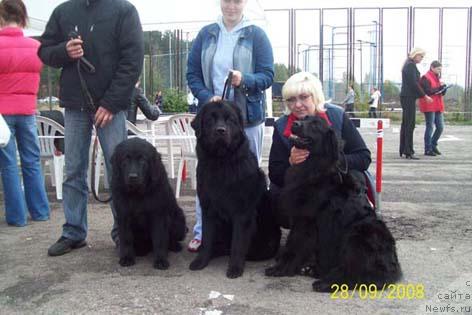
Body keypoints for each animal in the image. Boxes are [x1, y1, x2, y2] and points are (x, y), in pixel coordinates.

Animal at [111, 138, 187, 270]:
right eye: (126, 159)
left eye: (143, 160)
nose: (133, 177)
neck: (137, 194)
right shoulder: (123, 216)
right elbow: (126, 239)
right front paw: (127, 258)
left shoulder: (158, 215)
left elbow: (160, 239)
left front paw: (160, 260)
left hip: (179, 220)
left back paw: (175, 246)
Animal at [190, 101, 282, 278]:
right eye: (210, 120)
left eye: (230, 120)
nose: (220, 130)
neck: (221, 162)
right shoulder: (208, 209)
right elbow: (207, 238)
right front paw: (201, 261)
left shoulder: (242, 212)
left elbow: (238, 243)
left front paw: (235, 268)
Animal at [264, 116, 400, 294]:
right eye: (303, 118)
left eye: (315, 125)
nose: (295, 124)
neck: (313, 166)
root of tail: (392, 266)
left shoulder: (305, 220)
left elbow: (294, 245)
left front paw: (281, 268)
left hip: (356, 237)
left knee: (356, 273)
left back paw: (325, 283)